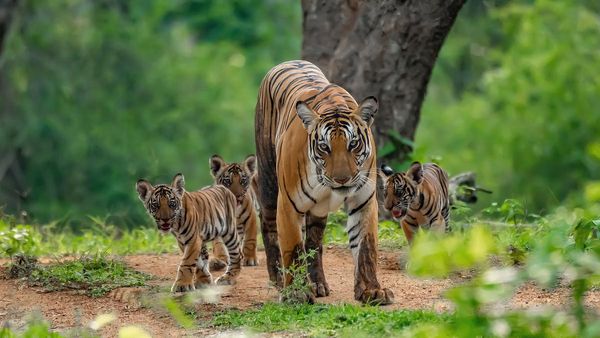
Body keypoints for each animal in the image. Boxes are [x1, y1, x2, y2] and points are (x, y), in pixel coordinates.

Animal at [254, 59, 392, 304]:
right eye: (324, 147)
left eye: (353, 144)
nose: (341, 179)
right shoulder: (288, 205)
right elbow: (293, 249)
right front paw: (296, 292)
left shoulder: (363, 201)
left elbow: (366, 247)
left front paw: (371, 290)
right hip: (269, 180)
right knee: (268, 224)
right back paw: (278, 279)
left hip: (318, 210)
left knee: (314, 241)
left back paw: (318, 284)